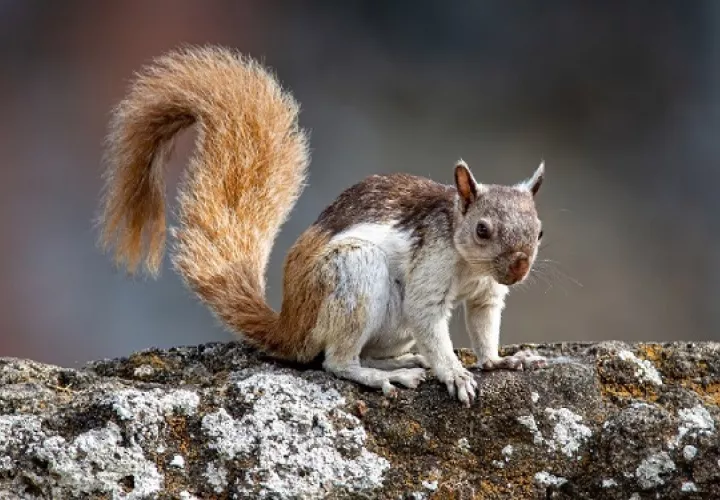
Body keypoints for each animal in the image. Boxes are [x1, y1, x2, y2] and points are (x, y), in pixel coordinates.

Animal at [98, 45, 547, 407]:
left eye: (540, 232)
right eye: (482, 230)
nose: (519, 268)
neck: (469, 263)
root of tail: (290, 326)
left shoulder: (487, 294)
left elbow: (484, 325)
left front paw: (500, 361)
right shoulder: (430, 268)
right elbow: (430, 322)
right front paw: (454, 373)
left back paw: (401, 361)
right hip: (356, 275)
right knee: (337, 361)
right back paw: (386, 376)